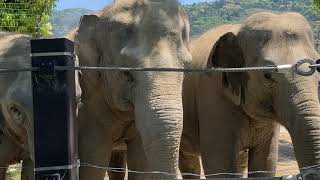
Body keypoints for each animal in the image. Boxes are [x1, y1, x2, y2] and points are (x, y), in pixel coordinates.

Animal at [74, 0, 191, 179]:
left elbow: (141, 163)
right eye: (126, 73)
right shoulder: (88, 104)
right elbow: (93, 163)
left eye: (187, 68)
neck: (103, 13)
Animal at [180, 11, 320, 179]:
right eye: (267, 75)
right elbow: (219, 165)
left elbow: (265, 163)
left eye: (318, 66)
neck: (239, 30)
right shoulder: (213, 96)